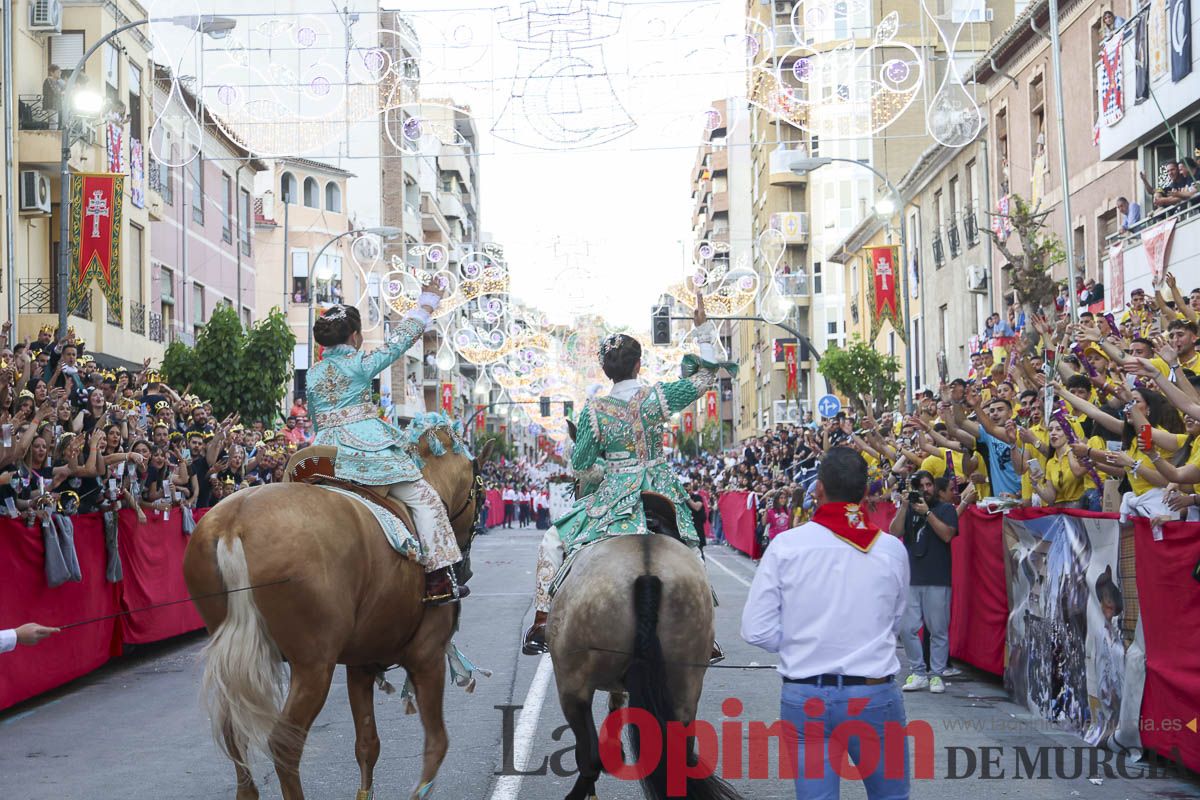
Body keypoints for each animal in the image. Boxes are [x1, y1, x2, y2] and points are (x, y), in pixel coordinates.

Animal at [182, 424, 487, 800]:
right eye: (481, 493)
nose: (466, 569)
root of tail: (233, 522)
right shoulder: (426, 655)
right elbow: (437, 742)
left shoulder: (361, 664)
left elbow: (368, 745)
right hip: (314, 667)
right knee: (284, 742)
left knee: (234, 734)